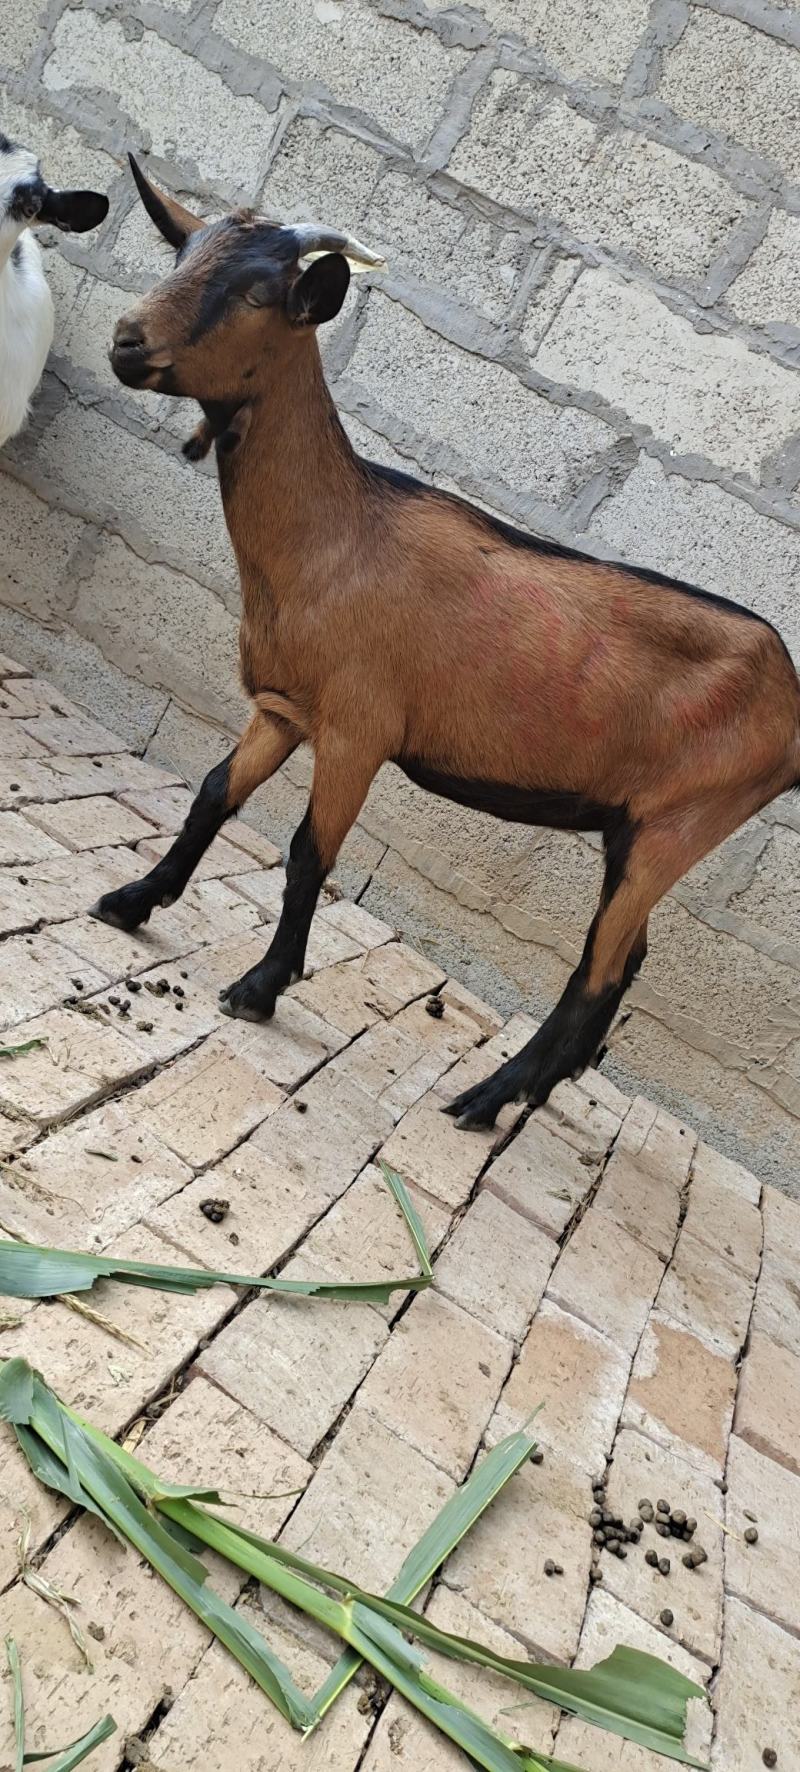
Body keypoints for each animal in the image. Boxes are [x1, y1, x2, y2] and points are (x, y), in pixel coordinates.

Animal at [91, 154, 800, 1132]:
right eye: (182, 252)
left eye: (259, 291)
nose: (128, 343)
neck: (337, 538)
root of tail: (793, 699)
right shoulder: (284, 708)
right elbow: (211, 797)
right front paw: (131, 901)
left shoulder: (359, 729)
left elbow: (311, 853)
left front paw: (260, 987)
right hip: (641, 835)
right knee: (626, 965)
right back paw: (530, 1096)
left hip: (680, 825)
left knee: (596, 972)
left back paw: (483, 1099)